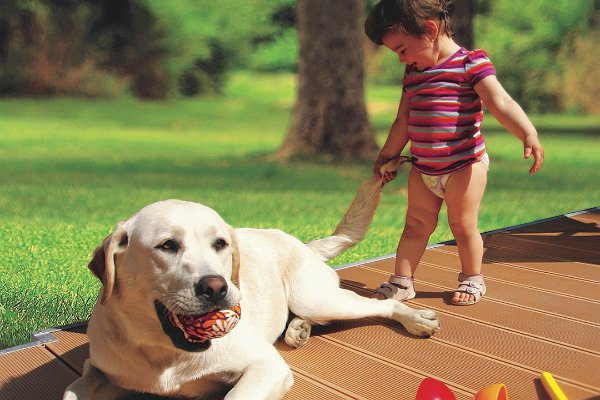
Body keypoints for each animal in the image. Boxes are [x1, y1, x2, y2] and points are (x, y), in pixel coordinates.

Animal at [63, 160, 440, 400]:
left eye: (220, 243)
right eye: (167, 245)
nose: (216, 287)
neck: (166, 354)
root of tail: (303, 243)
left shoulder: (265, 367)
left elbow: (237, 396)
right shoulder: (97, 371)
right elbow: (70, 389)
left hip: (316, 297)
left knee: (381, 303)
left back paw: (415, 319)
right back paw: (298, 329)